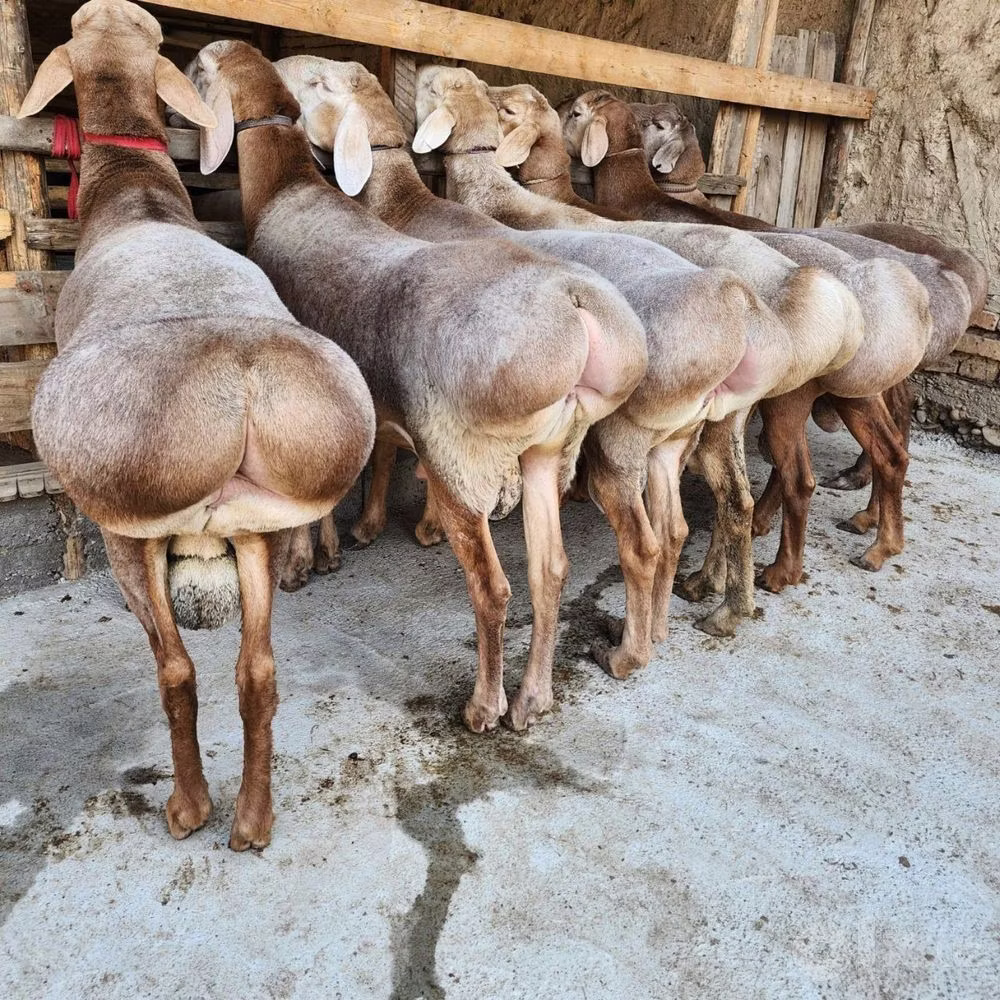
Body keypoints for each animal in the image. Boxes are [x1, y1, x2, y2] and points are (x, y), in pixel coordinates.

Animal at [16, 0, 377, 850]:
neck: (136, 194)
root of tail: (239, 379)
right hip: (259, 529)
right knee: (259, 673)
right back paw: (252, 818)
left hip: (129, 528)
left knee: (175, 671)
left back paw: (190, 806)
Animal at [187, 40, 650, 733]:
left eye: (318, 81)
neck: (285, 190)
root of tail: (577, 308)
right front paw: (337, 544)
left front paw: (301, 561)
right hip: (548, 451)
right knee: (550, 571)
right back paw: (533, 699)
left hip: (462, 456)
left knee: (494, 588)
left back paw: (485, 705)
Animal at [275, 55, 775, 682]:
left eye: (436, 88)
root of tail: (733, 299)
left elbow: (394, 448)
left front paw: (392, 528)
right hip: (710, 424)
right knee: (714, 510)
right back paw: (714, 607)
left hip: (627, 435)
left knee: (650, 539)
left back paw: (632, 648)